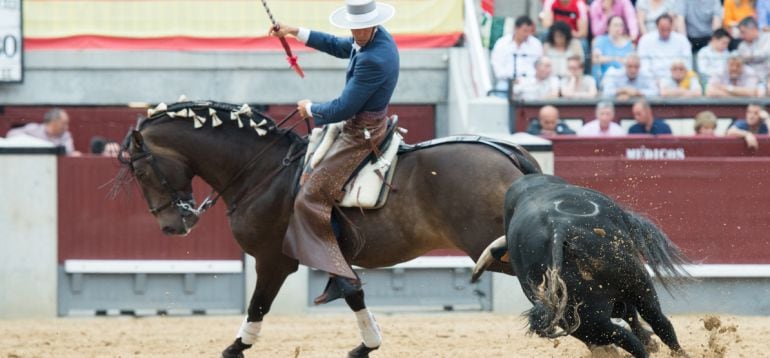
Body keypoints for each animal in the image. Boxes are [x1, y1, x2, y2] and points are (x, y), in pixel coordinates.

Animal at [118, 100, 540, 356]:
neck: (263, 170)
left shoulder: (273, 260)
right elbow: (353, 292)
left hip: (491, 248)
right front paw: (367, 344)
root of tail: (510, 155)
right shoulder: (329, 258)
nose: (174, 225)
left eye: (141, 171)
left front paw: (235, 347)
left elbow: (258, 305)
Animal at [472, 175, 688, 356]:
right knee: (657, 322)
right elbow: (632, 315)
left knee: (623, 334)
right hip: (639, 285)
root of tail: (557, 229)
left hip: (587, 320)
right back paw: (677, 352)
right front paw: (650, 341)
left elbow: (628, 314)